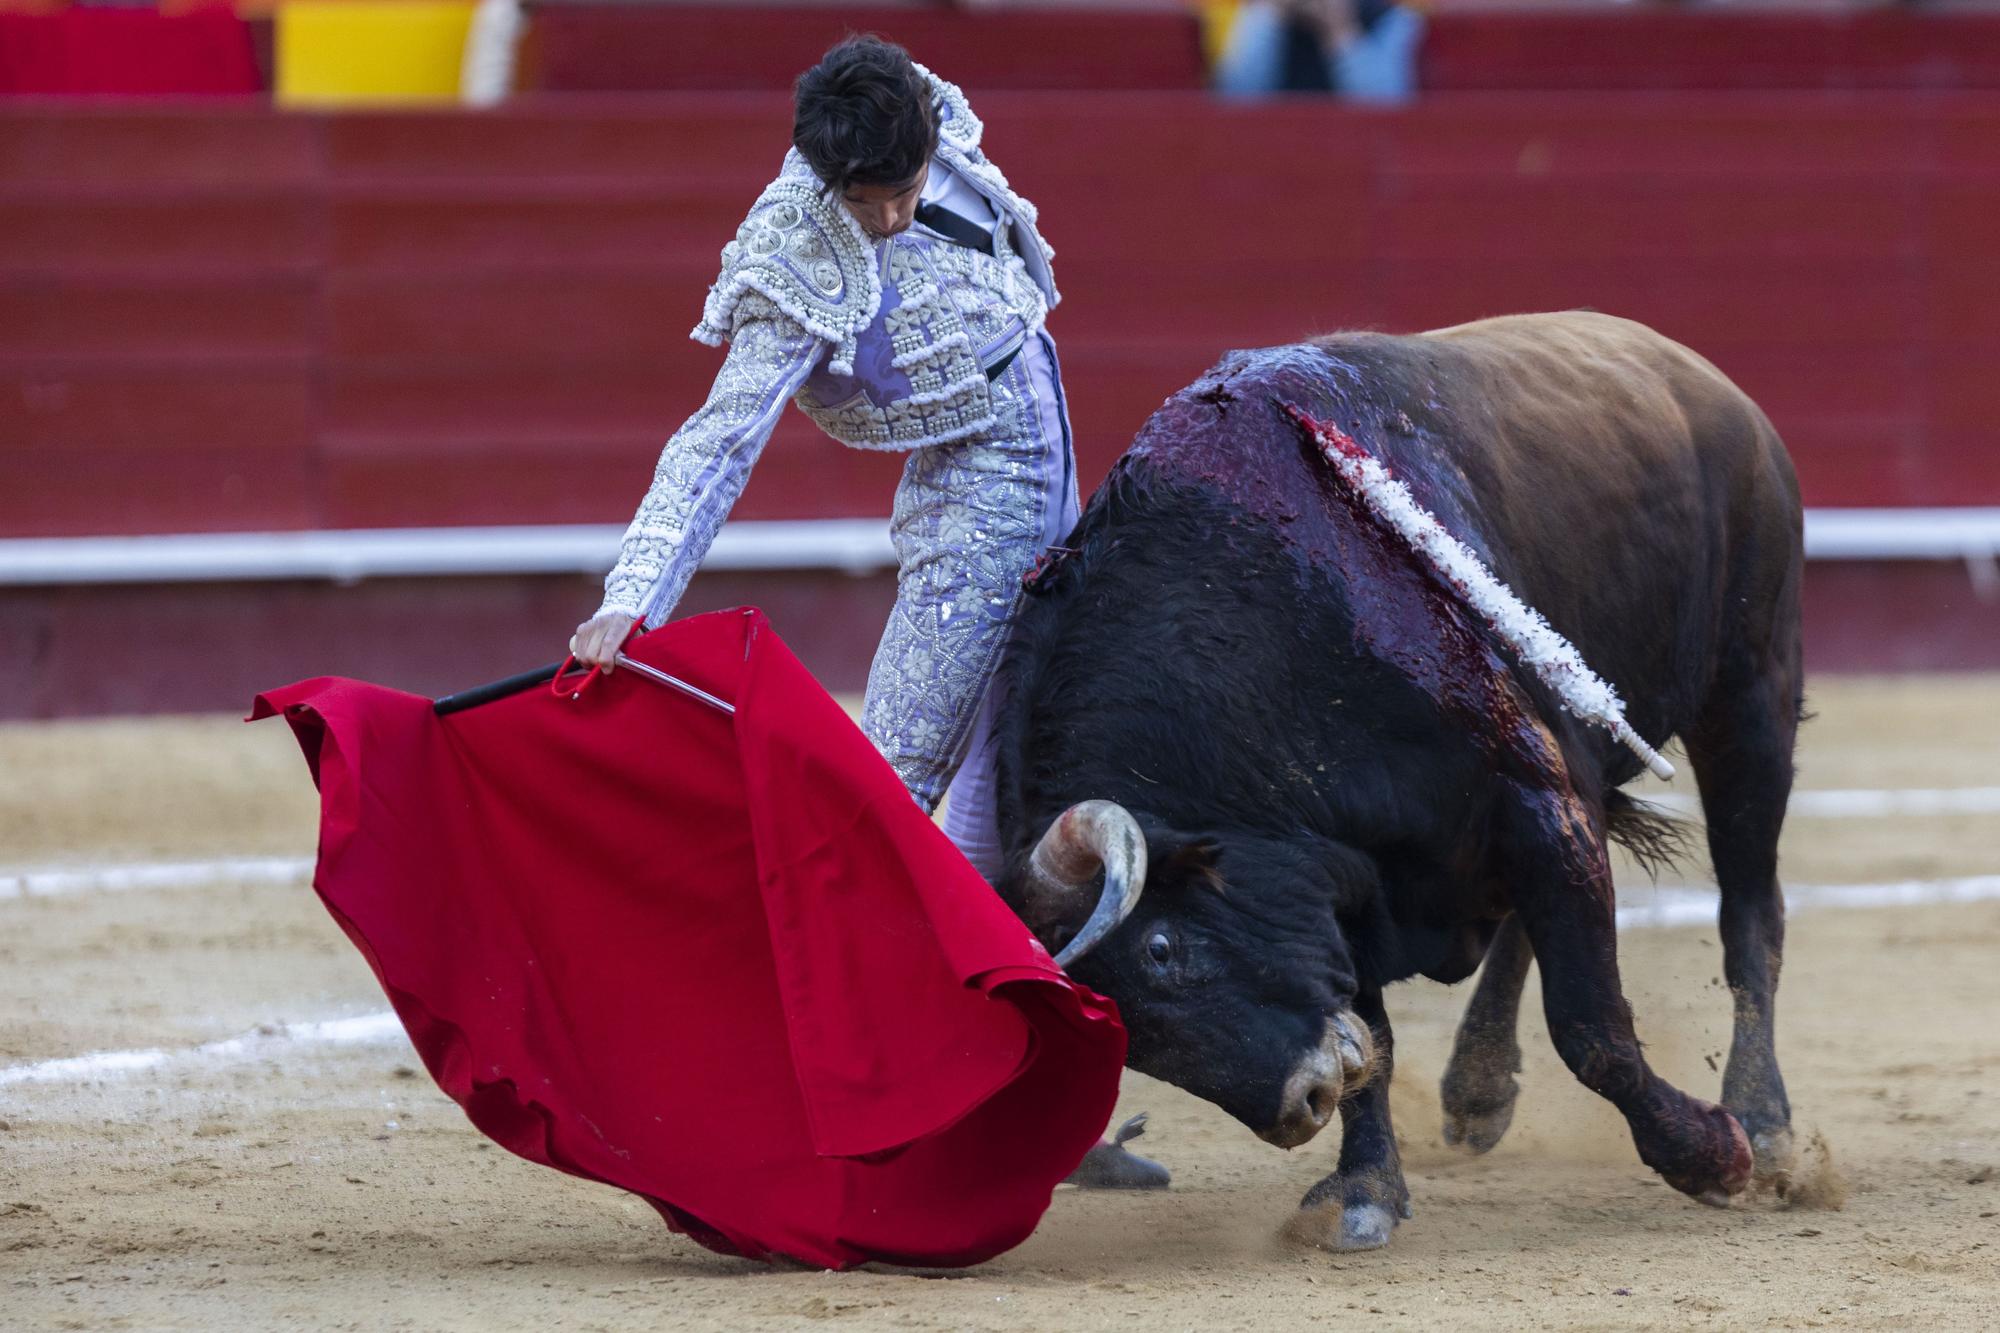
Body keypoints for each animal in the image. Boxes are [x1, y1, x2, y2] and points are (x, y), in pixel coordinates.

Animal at [992, 308, 1808, 1248]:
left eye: (1161, 949)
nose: (1300, 1101)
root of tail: (1710, 383)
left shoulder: (1530, 796)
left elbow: (1590, 1024)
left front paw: (1710, 1155)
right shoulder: (1356, 875)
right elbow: (1377, 1037)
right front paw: (1364, 1191)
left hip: (1751, 692)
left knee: (1749, 908)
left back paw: (1765, 1126)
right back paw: (1479, 1090)